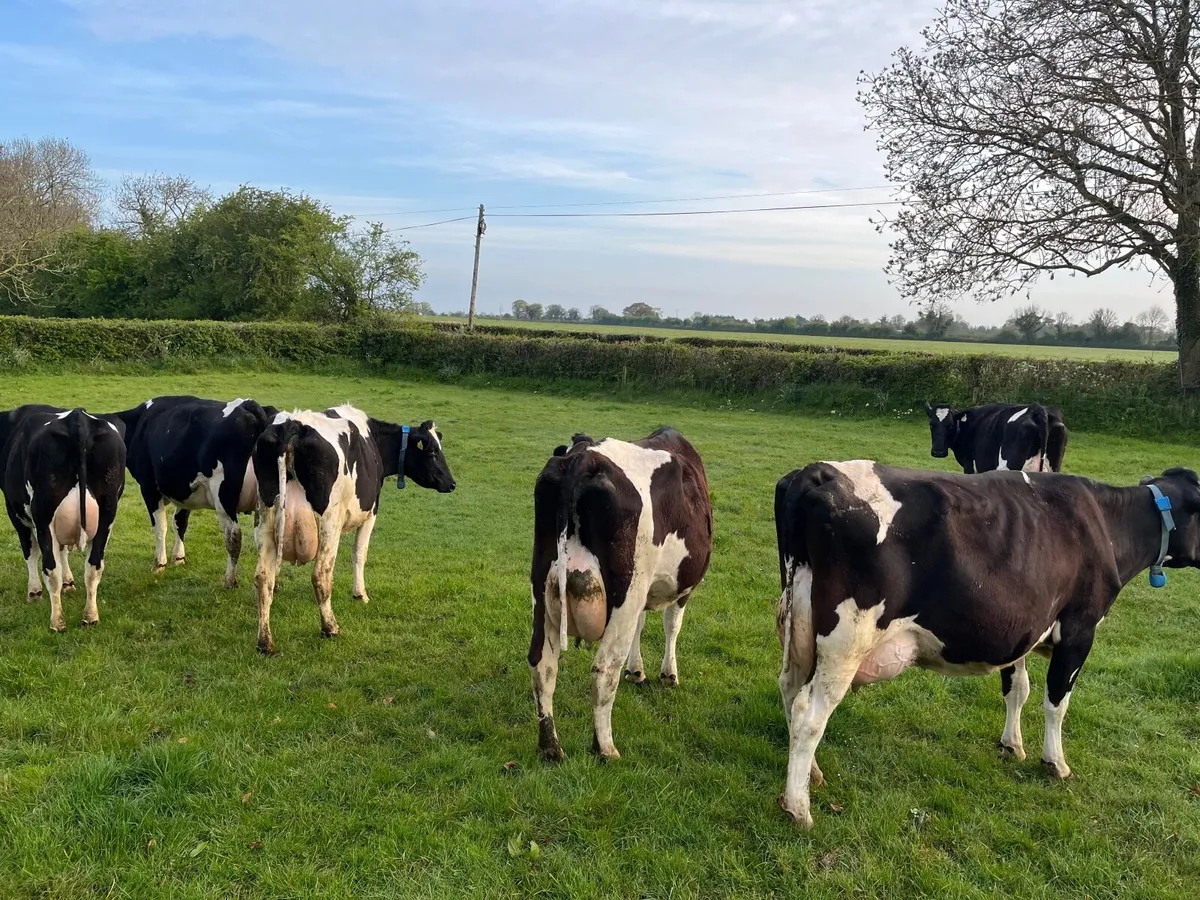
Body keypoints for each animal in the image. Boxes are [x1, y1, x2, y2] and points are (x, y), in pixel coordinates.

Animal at [1, 405, 127, 632]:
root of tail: (78, 418)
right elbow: (62, 551)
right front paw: (69, 583)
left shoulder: (15, 512)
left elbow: (30, 550)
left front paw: (34, 592)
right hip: (108, 512)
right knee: (94, 566)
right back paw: (90, 616)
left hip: (43, 514)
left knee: (51, 569)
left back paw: (57, 622)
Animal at [113, 396, 277, 588]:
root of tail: (248, 404)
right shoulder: (185, 491)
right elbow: (180, 522)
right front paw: (178, 557)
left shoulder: (149, 488)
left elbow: (160, 526)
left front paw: (159, 564)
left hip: (223, 497)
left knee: (234, 535)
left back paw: (229, 581)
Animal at [251, 405, 456, 654]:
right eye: (433, 452)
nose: (452, 484)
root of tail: (293, 424)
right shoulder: (371, 512)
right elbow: (359, 553)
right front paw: (360, 594)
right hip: (329, 523)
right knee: (321, 574)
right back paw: (330, 627)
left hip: (264, 519)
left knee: (263, 578)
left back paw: (265, 642)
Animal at [529, 427, 713, 763]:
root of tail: (584, 458)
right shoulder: (680, 589)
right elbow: (672, 626)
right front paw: (668, 675)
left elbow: (641, 627)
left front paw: (636, 671)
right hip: (626, 592)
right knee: (603, 670)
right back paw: (606, 749)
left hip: (541, 588)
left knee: (542, 665)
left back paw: (551, 747)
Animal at [773, 460, 1200, 828]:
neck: (1107, 526)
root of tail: (818, 471)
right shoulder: (1079, 629)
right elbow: (1056, 703)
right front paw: (1055, 763)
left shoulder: (1020, 630)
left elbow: (1018, 689)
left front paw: (1012, 744)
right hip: (846, 642)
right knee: (810, 714)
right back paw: (799, 809)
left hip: (799, 630)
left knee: (790, 692)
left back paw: (811, 774)